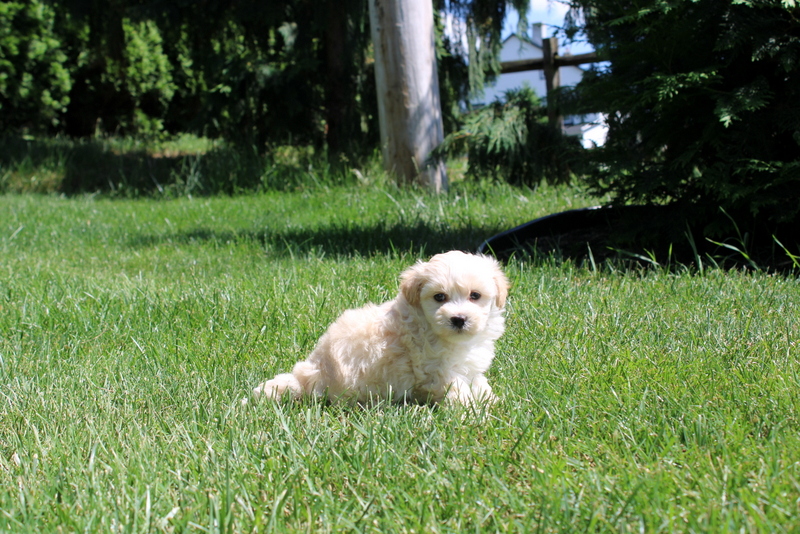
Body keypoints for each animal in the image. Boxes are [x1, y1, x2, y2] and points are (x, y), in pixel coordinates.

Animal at [253, 251, 510, 406]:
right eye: (439, 297)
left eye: (475, 295)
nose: (458, 319)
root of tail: (306, 374)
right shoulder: (438, 370)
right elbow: (458, 391)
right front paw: (474, 412)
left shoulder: (468, 367)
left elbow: (479, 383)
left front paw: (492, 402)